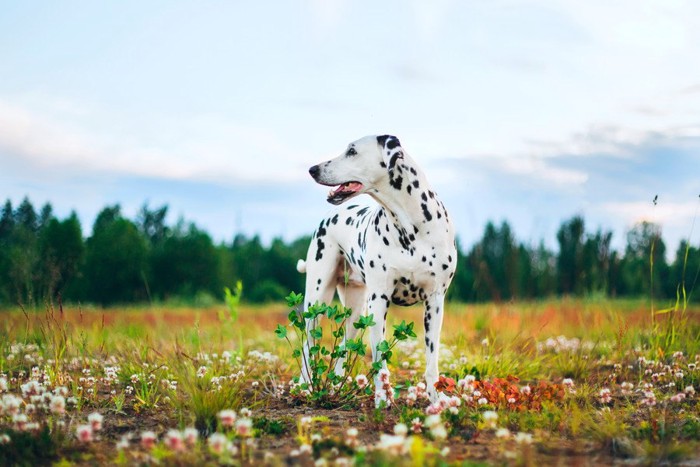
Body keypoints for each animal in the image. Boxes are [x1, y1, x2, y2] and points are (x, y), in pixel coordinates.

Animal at [296, 134, 456, 406]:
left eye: (352, 151)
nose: (312, 169)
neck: (411, 225)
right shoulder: (379, 300)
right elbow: (379, 358)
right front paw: (383, 399)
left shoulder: (435, 302)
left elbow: (431, 361)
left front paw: (436, 399)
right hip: (317, 300)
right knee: (308, 345)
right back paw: (306, 387)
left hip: (355, 310)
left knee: (344, 346)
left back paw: (336, 385)